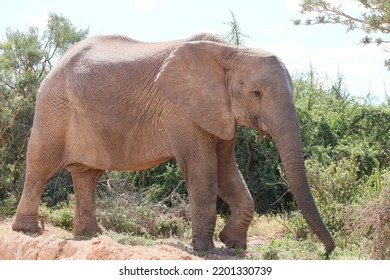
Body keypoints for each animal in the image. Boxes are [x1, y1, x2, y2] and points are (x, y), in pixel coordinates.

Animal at [12, 32, 336, 254]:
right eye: (257, 94)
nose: (327, 251)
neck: (230, 52)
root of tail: (58, 62)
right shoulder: (180, 109)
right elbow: (203, 169)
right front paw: (206, 249)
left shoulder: (218, 110)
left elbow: (226, 171)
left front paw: (233, 245)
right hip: (54, 107)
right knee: (40, 165)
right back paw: (27, 230)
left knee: (87, 174)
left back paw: (92, 235)